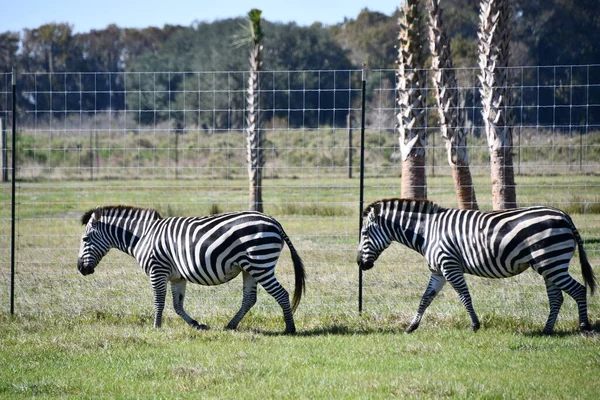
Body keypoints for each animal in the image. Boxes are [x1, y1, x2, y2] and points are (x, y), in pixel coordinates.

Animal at [77, 205, 304, 332]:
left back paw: (290, 328)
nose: (80, 268)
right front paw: (196, 324)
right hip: (250, 268)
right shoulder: (177, 277)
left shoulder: (157, 270)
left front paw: (156, 327)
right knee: (249, 299)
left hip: (260, 264)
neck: (144, 236)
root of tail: (274, 221)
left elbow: (159, 301)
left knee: (281, 294)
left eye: (85, 239)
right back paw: (231, 325)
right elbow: (177, 305)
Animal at [356, 198, 596, 332]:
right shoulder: (438, 271)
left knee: (578, 289)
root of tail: (564, 215)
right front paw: (411, 327)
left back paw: (584, 327)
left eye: (365, 233)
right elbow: (425, 298)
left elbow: (464, 296)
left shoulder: (449, 265)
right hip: (548, 265)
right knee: (557, 297)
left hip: (552, 262)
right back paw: (547, 330)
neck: (427, 231)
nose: (359, 263)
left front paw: (475, 325)